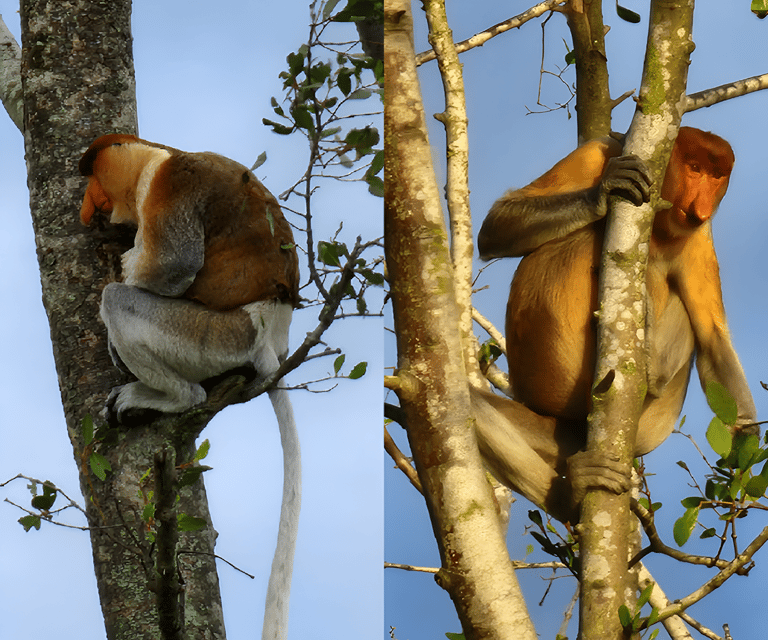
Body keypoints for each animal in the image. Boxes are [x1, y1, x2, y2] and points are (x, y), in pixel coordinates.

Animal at [80, 132, 300, 636]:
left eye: (93, 176)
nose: (86, 209)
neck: (157, 157)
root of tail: (271, 340)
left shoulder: (171, 186)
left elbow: (169, 269)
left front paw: (128, 259)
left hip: (210, 337)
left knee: (121, 300)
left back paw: (164, 397)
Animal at [474, 127, 756, 524]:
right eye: (695, 168)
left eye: (717, 177)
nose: (701, 206)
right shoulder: (599, 153)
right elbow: (495, 226)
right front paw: (604, 192)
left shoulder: (699, 235)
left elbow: (713, 336)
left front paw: (744, 457)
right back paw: (569, 496)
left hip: (648, 422)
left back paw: (650, 371)